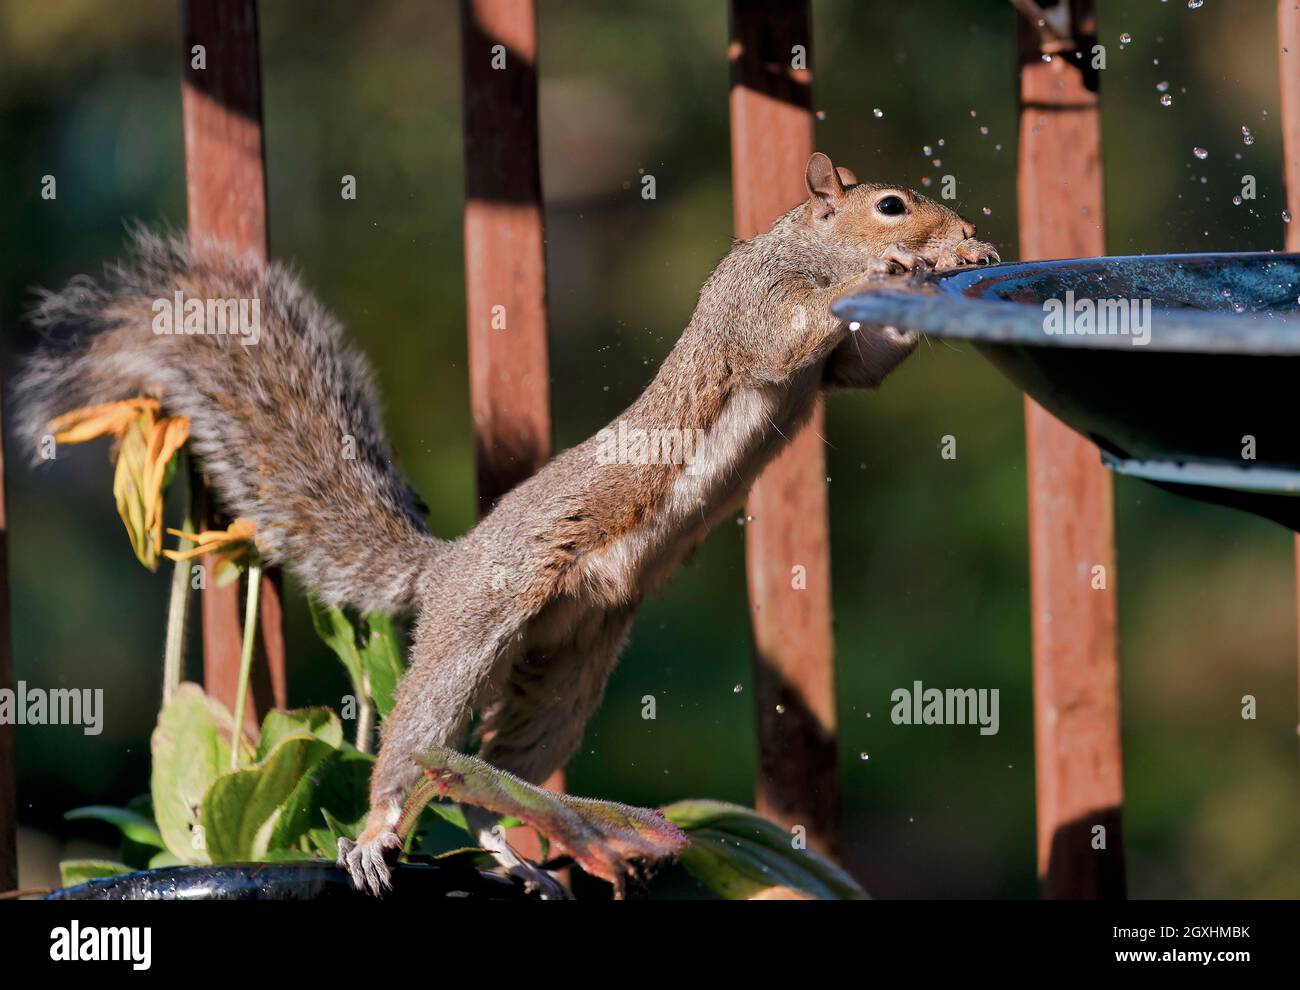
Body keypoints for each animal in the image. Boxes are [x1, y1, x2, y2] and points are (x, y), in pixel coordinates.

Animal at [12, 152, 993, 893]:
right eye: (891, 204)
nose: (961, 237)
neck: (800, 242)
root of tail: (444, 567)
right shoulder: (753, 310)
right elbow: (785, 337)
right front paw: (895, 271)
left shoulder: (837, 371)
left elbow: (862, 368)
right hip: (478, 625)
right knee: (417, 749)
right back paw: (376, 837)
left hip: (564, 672)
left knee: (493, 780)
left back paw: (510, 858)